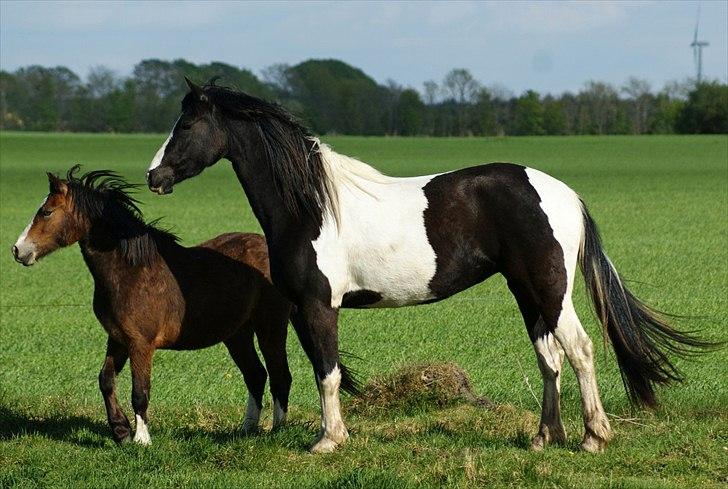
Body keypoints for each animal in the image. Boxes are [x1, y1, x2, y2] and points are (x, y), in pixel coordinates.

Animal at [11, 166, 298, 444]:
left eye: (46, 212)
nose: (17, 250)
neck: (131, 272)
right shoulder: (118, 338)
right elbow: (106, 380)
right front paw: (120, 431)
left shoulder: (141, 344)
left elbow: (140, 391)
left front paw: (141, 439)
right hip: (237, 334)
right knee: (256, 375)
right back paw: (247, 429)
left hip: (270, 327)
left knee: (279, 375)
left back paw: (277, 431)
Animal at [146, 78, 712, 452]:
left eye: (188, 123)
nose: (154, 176)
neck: (313, 205)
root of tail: (564, 194)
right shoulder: (301, 310)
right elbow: (319, 370)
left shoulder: (319, 306)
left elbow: (326, 373)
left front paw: (329, 442)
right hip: (525, 292)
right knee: (548, 359)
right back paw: (543, 437)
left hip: (551, 290)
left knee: (580, 350)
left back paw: (594, 437)